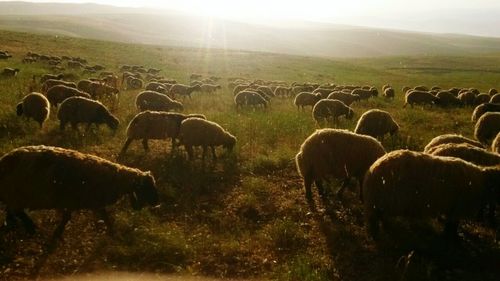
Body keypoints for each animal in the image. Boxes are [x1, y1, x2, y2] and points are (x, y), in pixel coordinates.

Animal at [0, 144, 158, 236]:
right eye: (148, 188)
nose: (157, 203)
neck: (114, 180)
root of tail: (5, 159)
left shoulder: (91, 201)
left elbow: (103, 216)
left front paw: (111, 232)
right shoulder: (78, 199)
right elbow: (69, 217)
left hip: (13, 195)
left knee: (11, 211)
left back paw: (13, 225)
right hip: (16, 194)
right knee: (17, 211)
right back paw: (30, 227)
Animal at [364, 150, 500, 237]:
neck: (483, 181)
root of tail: (372, 170)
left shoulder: (453, 208)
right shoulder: (456, 208)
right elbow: (452, 226)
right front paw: (451, 238)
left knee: (380, 217)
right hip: (380, 200)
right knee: (374, 219)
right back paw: (377, 233)